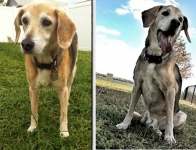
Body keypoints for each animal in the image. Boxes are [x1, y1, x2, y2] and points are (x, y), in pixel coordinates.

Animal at [13, 0, 77, 137]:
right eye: (24, 20)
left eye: (47, 22)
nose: (26, 44)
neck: (45, 61)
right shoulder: (33, 88)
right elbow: (33, 111)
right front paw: (33, 127)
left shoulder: (62, 89)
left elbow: (63, 114)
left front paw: (64, 131)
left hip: (72, 74)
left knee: (69, 88)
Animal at [116, 4, 191, 144]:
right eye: (165, 13)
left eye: (181, 19)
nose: (176, 23)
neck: (154, 58)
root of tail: (151, 119)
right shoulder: (137, 84)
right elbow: (131, 108)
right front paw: (124, 124)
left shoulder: (170, 90)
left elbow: (169, 117)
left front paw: (169, 136)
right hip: (146, 115)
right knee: (147, 123)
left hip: (182, 115)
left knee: (159, 125)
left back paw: (158, 131)